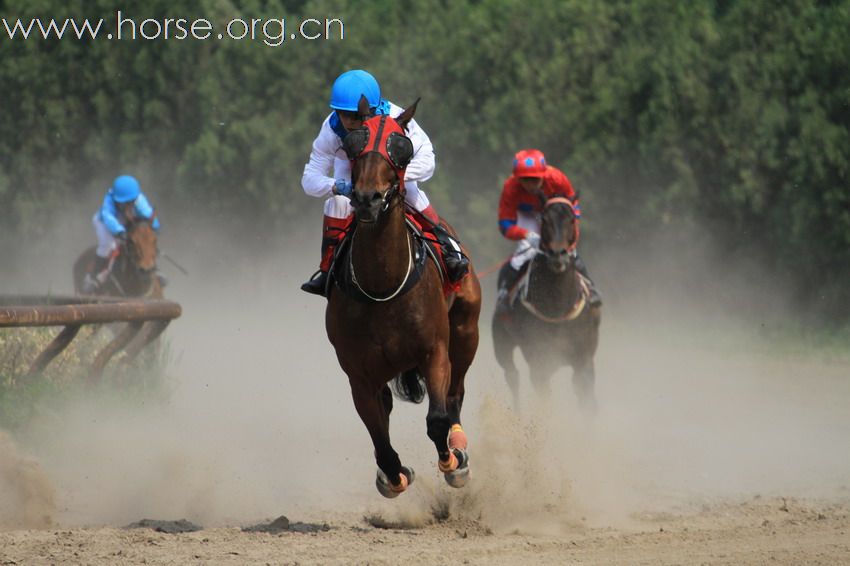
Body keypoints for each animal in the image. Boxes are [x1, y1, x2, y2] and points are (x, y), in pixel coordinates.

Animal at [324, 100, 480, 500]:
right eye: (353, 145)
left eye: (400, 147)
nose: (368, 198)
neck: (383, 286)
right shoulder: (359, 375)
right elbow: (380, 439)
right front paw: (393, 476)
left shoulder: (434, 351)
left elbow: (437, 420)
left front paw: (453, 462)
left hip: (466, 330)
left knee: (455, 394)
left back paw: (459, 445)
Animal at [486, 197, 600, 414]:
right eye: (544, 220)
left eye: (572, 219)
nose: (558, 254)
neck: (558, 306)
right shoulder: (538, 360)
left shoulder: (584, 358)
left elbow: (586, 398)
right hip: (502, 342)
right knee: (512, 375)